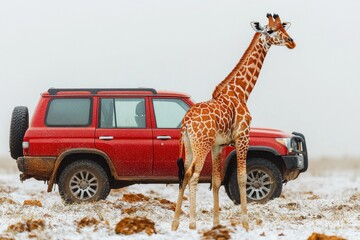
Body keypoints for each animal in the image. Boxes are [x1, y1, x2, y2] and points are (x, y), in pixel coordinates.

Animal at [172, 13, 296, 231]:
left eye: (283, 26)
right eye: (270, 30)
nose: (291, 42)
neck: (242, 92)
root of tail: (186, 122)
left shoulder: (218, 146)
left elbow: (216, 180)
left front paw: (216, 224)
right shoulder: (242, 136)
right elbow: (242, 177)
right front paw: (246, 224)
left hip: (189, 145)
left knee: (184, 174)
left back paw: (175, 223)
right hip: (201, 144)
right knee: (193, 174)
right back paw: (192, 224)